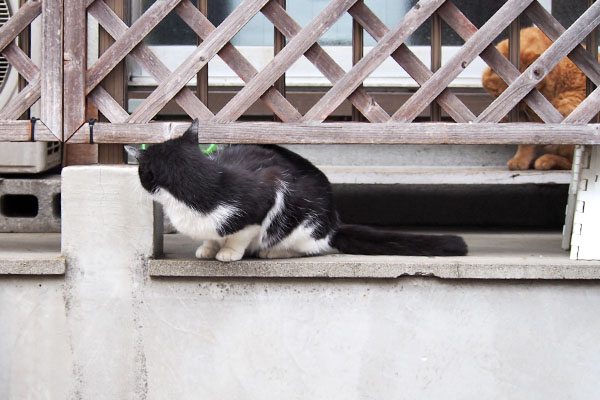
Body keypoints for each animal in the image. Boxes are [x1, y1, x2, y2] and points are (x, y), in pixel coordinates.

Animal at [124, 119, 466, 262]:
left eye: (140, 173)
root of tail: (335, 223)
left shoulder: (265, 197)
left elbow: (241, 233)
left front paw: (229, 253)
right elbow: (212, 234)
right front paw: (208, 248)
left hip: (306, 223)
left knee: (310, 245)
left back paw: (272, 251)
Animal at [482, 26, 584, 170]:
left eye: (523, 95)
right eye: (500, 92)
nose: (515, 109)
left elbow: (528, 141)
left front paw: (520, 161)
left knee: (571, 162)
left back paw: (546, 161)